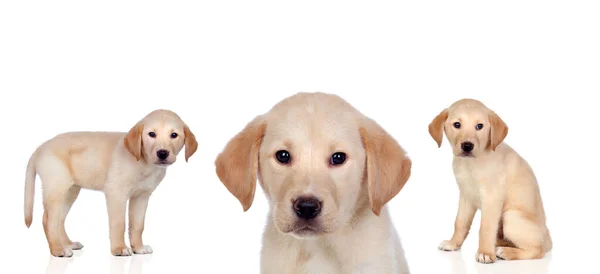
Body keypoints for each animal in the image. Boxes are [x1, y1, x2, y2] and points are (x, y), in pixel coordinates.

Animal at [23, 108, 198, 256]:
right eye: (151, 134)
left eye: (174, 135)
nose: (162, 153)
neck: (142, 161)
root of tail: (40, 148)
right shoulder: (116, 193)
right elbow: (119, 223)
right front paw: (119, 249)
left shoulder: (141, 196)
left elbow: (137, 225)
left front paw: (139, 248)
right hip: (57, 188)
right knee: (49, 220)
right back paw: (58, 250)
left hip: (71, 190)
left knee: (59, 219)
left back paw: (68, 244)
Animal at [428, 98, 552, 264]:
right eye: (457, 124)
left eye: (479, 126)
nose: (467, 146)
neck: (471, 164)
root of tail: (548, 238)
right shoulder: (466, 195)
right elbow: (460, 222)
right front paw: (453, 243)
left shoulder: (492, 198)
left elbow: (485, 227)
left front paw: (485, 253)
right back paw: (500, 244)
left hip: (511, 217)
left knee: (538, 250)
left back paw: (505, 252)